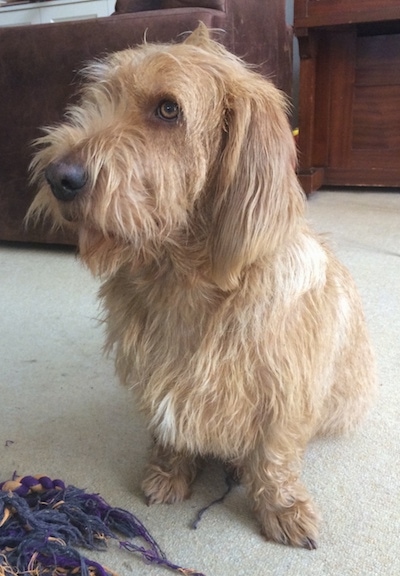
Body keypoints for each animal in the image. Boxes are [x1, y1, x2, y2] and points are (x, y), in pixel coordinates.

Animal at [28, 24, 376, 552]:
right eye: (101, 97)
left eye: (168, 109)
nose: (56, 177)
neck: (182, 275)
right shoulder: (155, 372)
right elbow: (170, 431)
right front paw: (170, 472)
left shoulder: (287, 389)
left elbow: (274, 456)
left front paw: (281, 507)